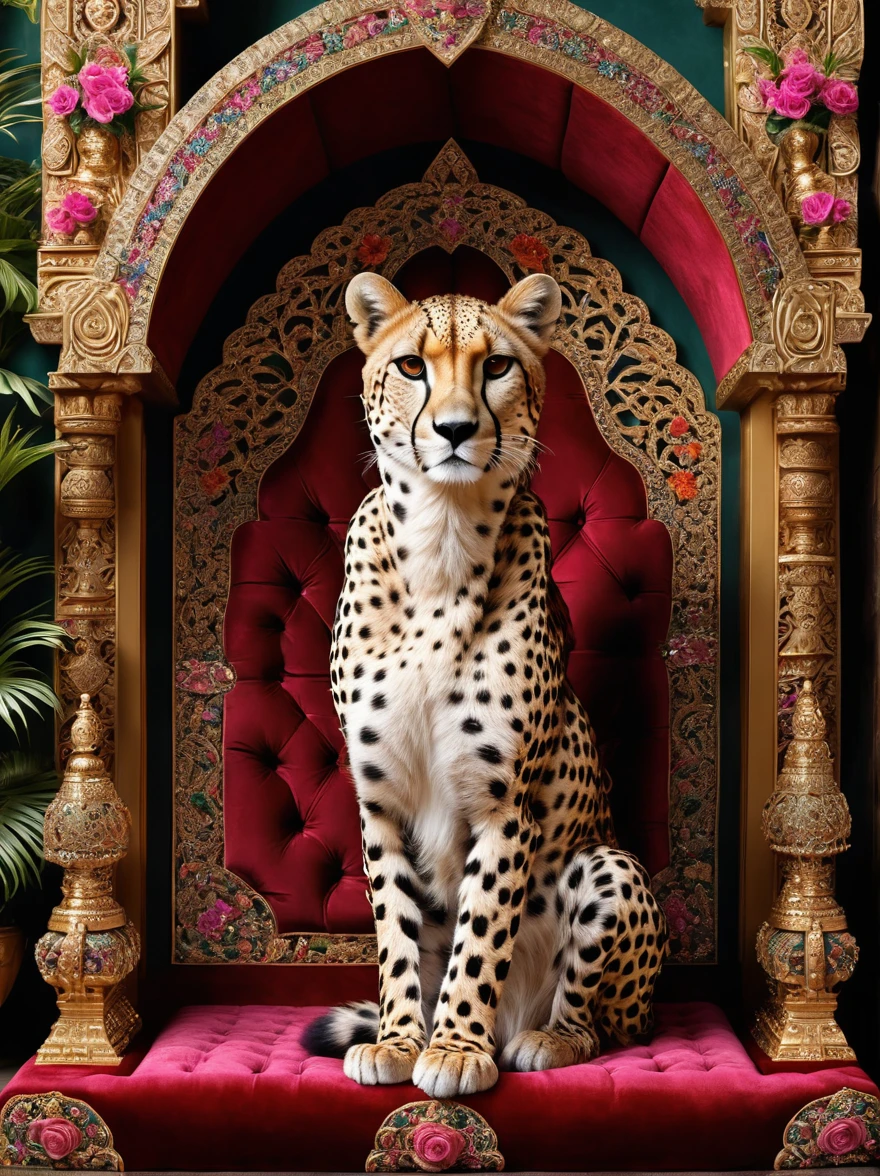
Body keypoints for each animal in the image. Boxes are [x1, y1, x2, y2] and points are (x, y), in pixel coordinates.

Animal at [302, 271, 667, 1098]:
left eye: (496, 366)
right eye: (412, 366)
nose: (456, 429)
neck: (441, 536)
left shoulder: (506, 806)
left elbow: (481, 936)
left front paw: (456, 1048)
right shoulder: (379, 802)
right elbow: (398, 938)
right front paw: (402, 1039)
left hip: (611, 867)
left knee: (604, 1024)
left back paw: (540, 1038)